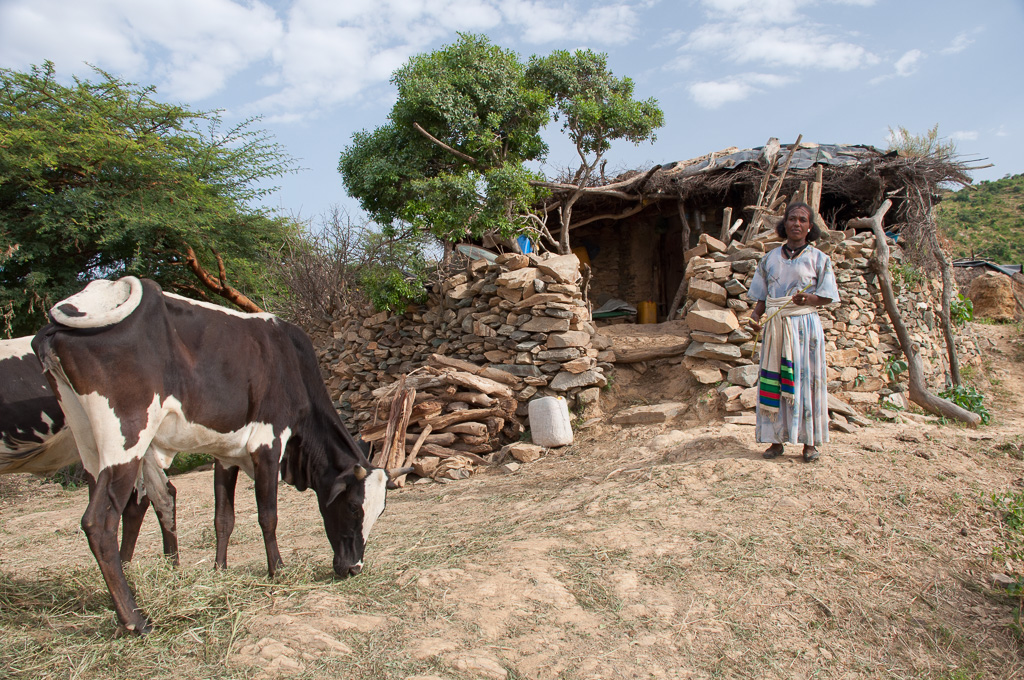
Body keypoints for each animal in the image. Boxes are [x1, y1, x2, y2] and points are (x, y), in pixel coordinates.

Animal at [29, 274, 403, 630]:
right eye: (353, 507)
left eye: (381, 511)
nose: (353, 568)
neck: (292, 367)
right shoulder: (268, 445)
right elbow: (268, 515)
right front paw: (278, 570)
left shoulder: (226, 456)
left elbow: (223, 519)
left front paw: (219, 570)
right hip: (126, 441)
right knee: (100, 522)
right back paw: (135, 620)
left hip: (90, 444)